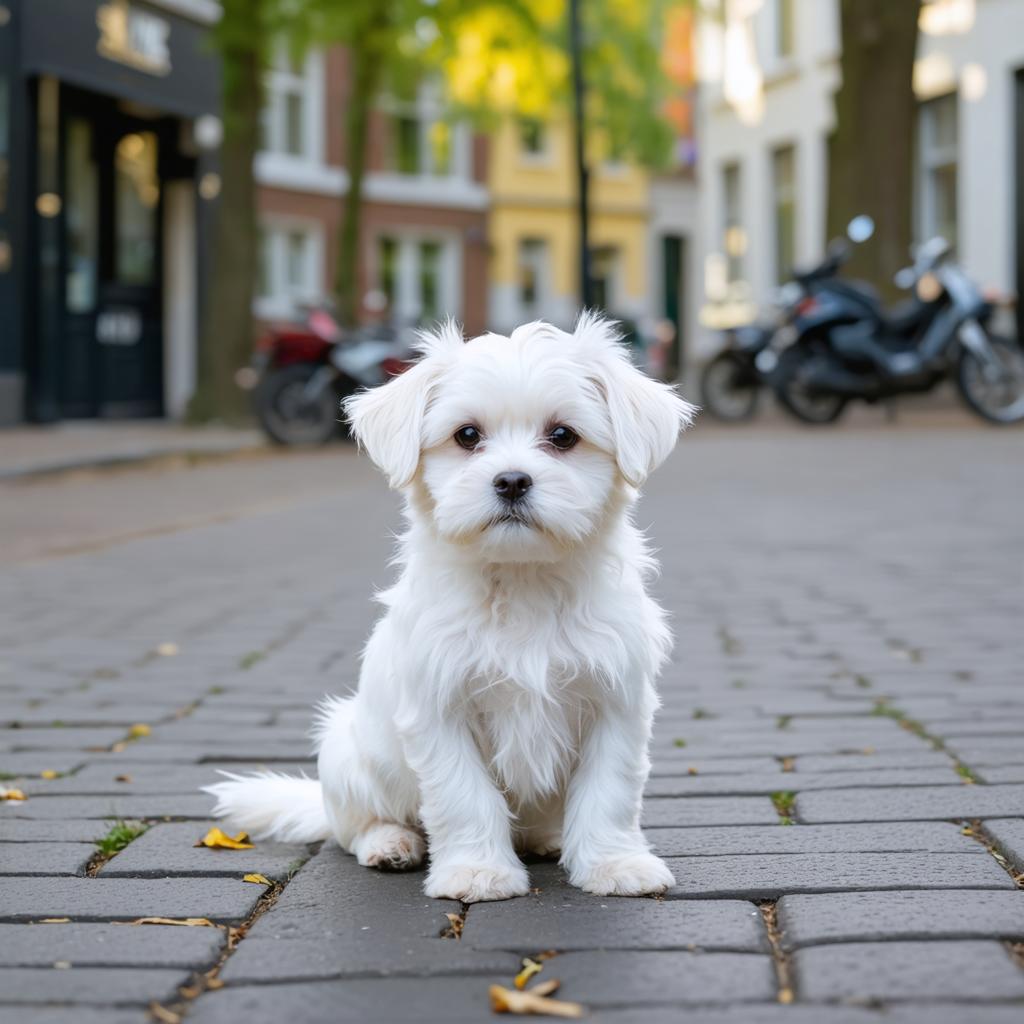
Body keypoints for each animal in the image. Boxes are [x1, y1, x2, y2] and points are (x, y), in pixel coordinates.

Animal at [211, 313, 700, 905]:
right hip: (346, 753)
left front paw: (615, 864)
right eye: (467, 435)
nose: (511, 480)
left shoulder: (616, 701)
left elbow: (609, 790)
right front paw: (477, 872)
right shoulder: (439, 708)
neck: (521, 579)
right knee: (355, 828)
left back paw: (548, 838)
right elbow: (464, 796)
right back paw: (391, 843)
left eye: (563, 436)